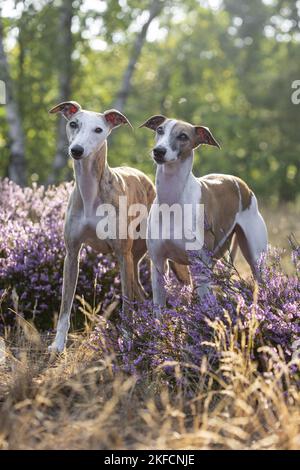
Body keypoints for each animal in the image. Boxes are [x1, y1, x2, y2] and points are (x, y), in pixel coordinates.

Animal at [139, 116, 268, 308]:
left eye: (183, 136)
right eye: (160, 130)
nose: (159, 151)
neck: (172, 201)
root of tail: (242, 184)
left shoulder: (200, 266)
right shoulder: (158, 264)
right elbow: (158, 309)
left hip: (254, 257)